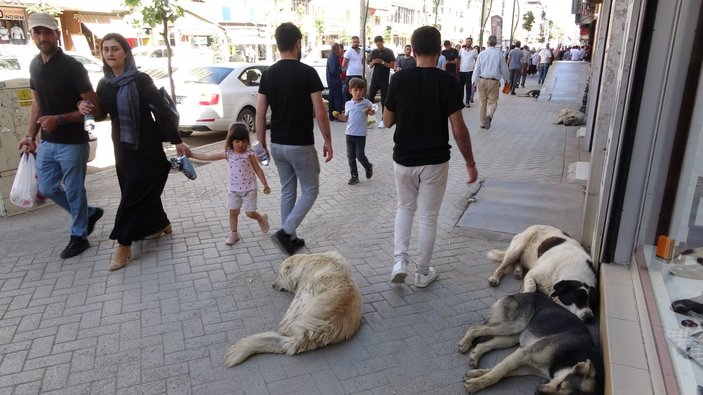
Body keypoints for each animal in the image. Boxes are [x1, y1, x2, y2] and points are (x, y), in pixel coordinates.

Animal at [456, 292, 604, 394]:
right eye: (560, 384)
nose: (537, 391)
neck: (571, 357)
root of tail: (519, 293)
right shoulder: (523, 354)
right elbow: (497, 373)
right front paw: (476, 384)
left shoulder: (528, 366)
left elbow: (499, 370)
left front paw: (475, 375)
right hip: (514, 326)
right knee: (475, 328)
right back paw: (465, 343)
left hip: (512, 336)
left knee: (484, 344)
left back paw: (475, 354)